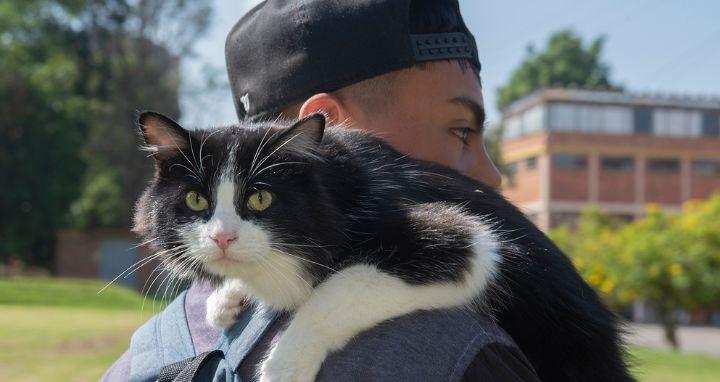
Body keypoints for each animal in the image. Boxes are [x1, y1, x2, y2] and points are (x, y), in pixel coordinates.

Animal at [134, 112, 632, 382]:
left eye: (259, 198)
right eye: (196, 200)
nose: (222, 237)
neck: (337, 188)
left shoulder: (461, 239)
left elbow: (336, 289)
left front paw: (284, 364)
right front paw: (228, 296)